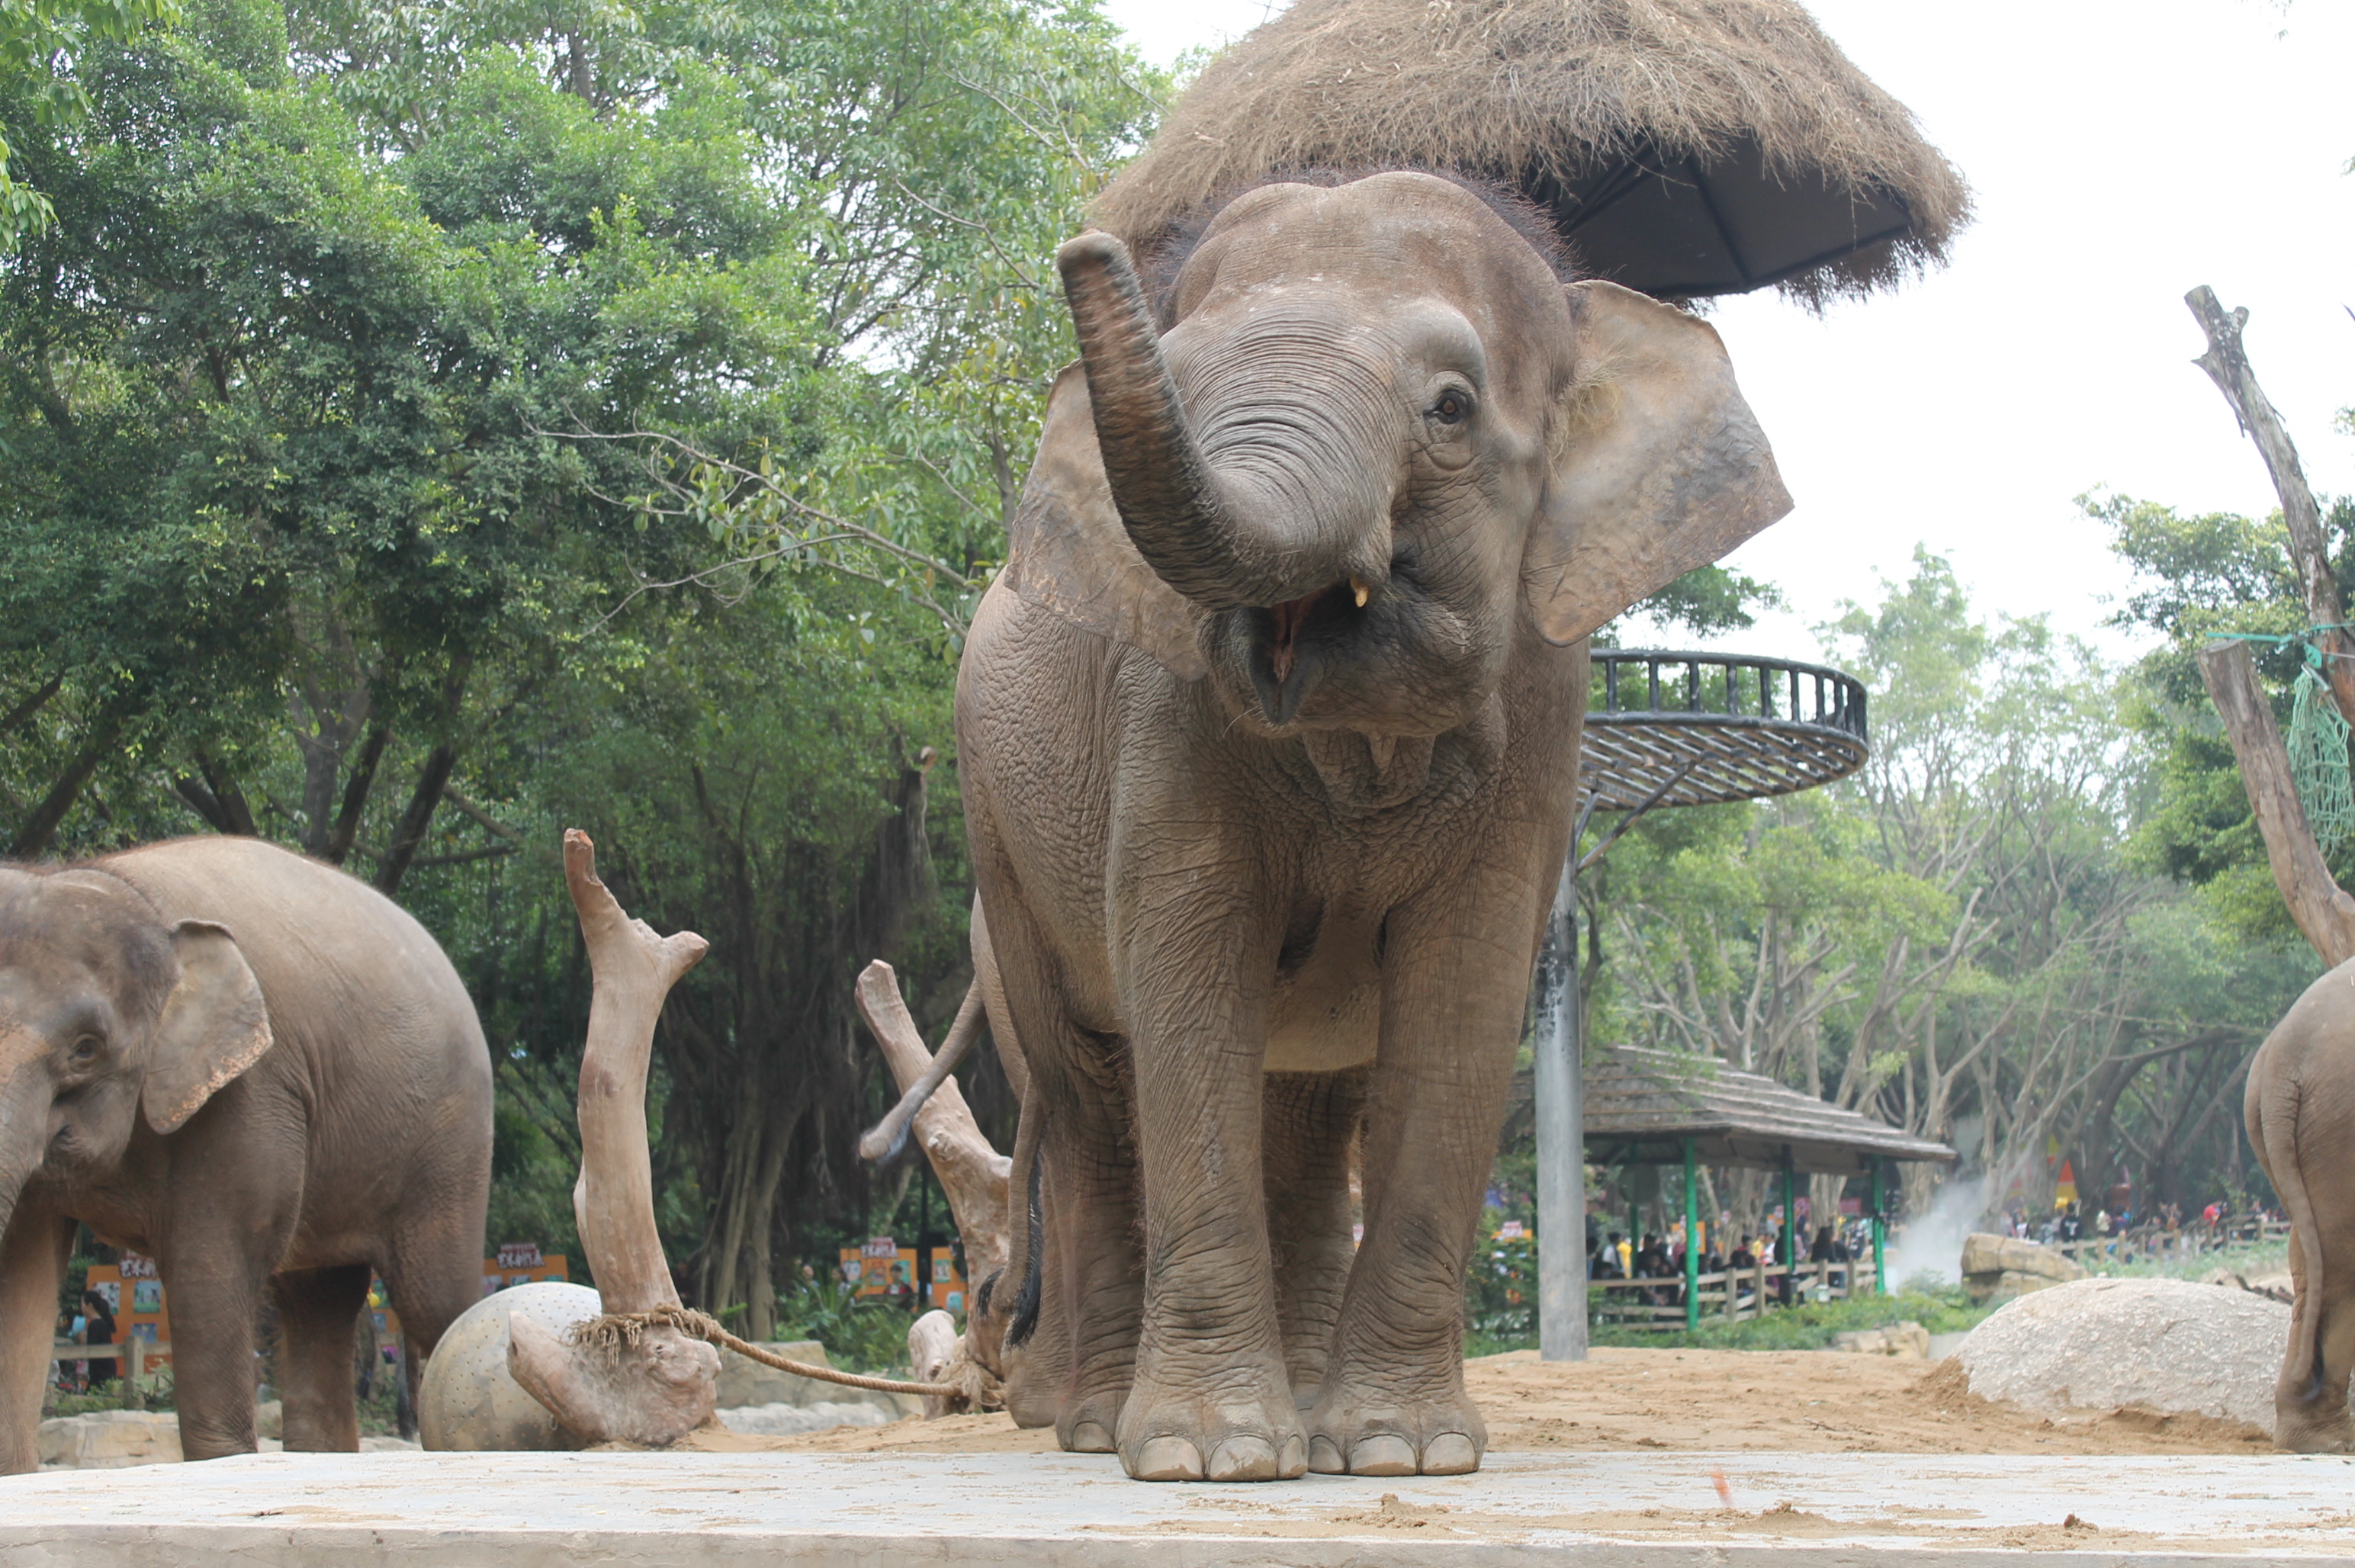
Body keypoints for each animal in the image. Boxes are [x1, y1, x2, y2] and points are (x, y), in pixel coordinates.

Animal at [1, 838, 492, 1459]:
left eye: (86, 1049)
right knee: (319, 1302)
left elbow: (209, 1270)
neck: (117, 884)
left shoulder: (251, 1094)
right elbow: (20, 1273)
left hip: (450, 1142)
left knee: (437, 1301)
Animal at [956, 170, 1780, 1478]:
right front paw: (1211, 1459)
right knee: (1090, 1091)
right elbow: (1185, 961)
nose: (1085, 249)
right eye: (1178, 377)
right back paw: (1095, 1429)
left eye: (1450, 408)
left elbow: (1466, 990)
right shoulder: (1162, 701)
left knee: (1307, 1109)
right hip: (999, 844)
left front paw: (1401, 1451)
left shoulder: (1545, 706)